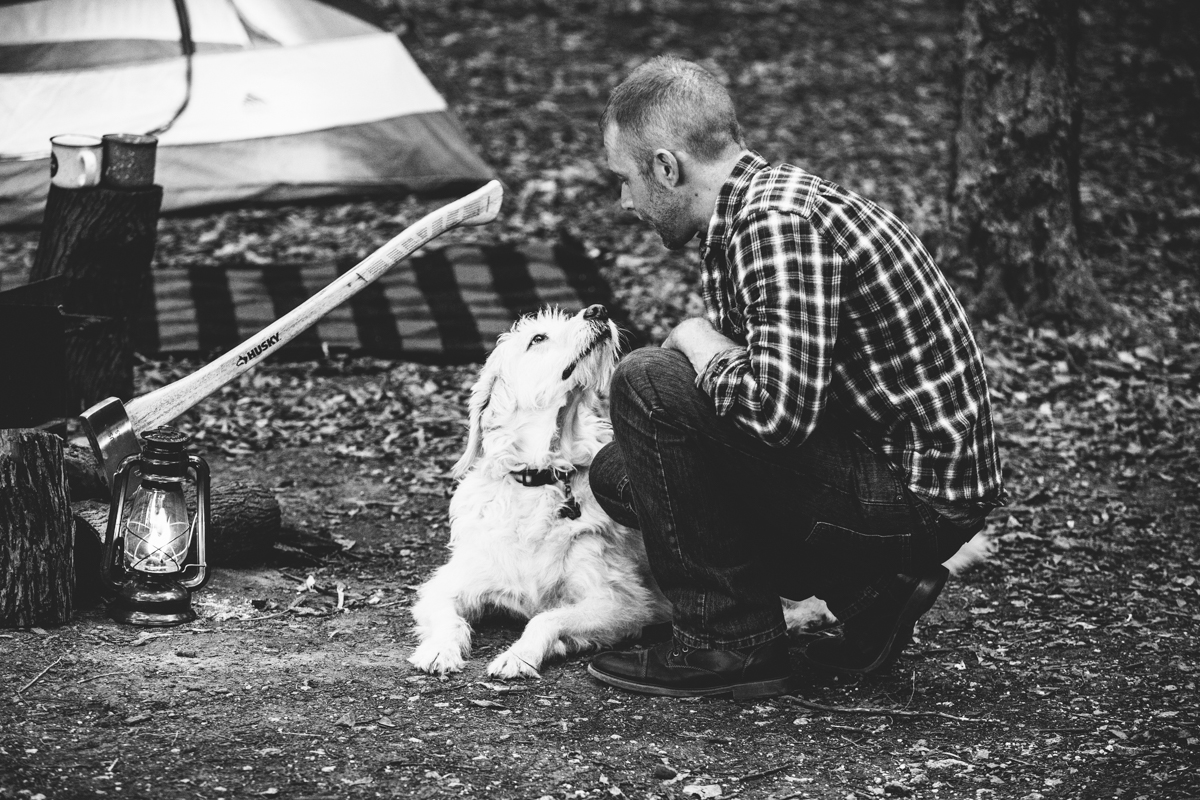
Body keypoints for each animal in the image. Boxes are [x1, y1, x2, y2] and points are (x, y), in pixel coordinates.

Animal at [410, 303, 676, 681]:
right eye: (538, 338)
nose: (598, 309)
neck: (541, 476)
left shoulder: (625, 601)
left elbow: (546, 617)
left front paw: (518, 656)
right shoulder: (447, 583)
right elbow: (447, 617)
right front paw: (439, 650)